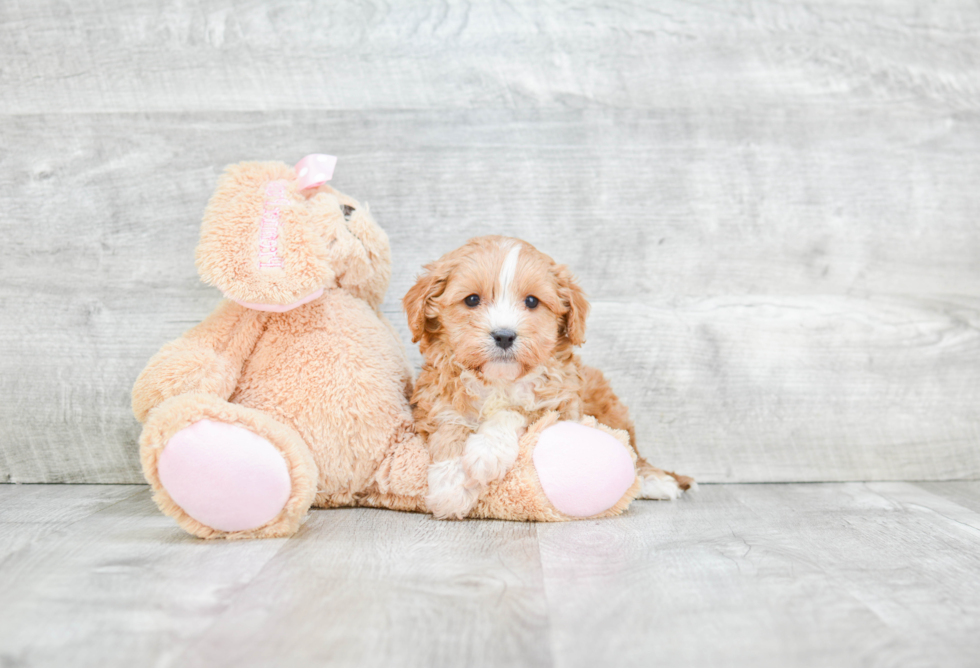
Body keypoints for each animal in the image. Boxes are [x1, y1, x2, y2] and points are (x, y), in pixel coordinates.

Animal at [402, 236, 692, 520]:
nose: (504, 336)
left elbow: (516, 411)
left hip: (612, 411)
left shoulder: (561, 405)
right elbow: (449, 424)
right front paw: (452, 485)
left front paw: (486, 451)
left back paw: (655, 482)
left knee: (635, 454)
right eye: (472, 299)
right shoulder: (435, 398)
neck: (499, 381)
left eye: (532, 301)